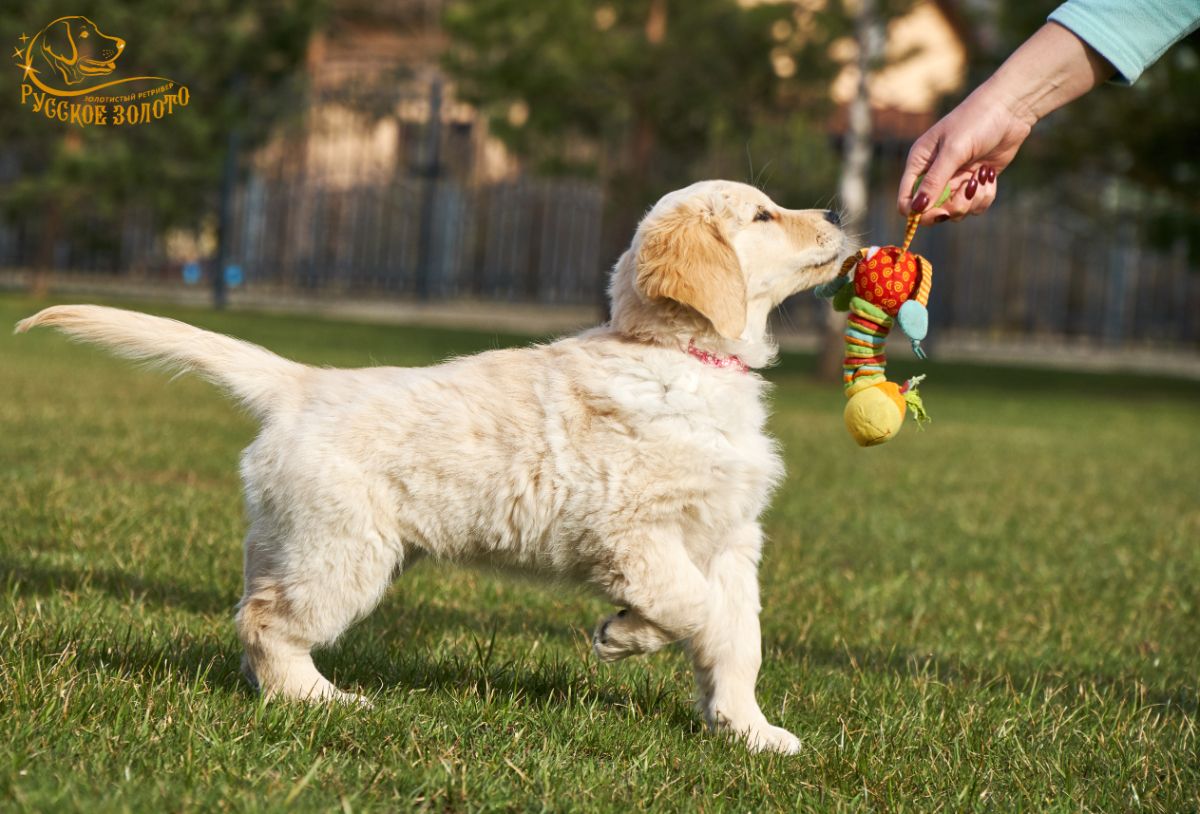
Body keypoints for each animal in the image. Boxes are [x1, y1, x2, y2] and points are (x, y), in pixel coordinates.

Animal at [16, 181, 844, 753]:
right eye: (764, 216)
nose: (837, 216)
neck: (685, 360)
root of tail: (301, 381)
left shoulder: (731, 540)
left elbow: (737, 639)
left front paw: (749, 731)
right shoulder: (632, 532)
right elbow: (691, 608)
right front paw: (624, 636)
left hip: (299, 541)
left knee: (253, 612)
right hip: (342, 552)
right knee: (267, 622)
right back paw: (321, 702)